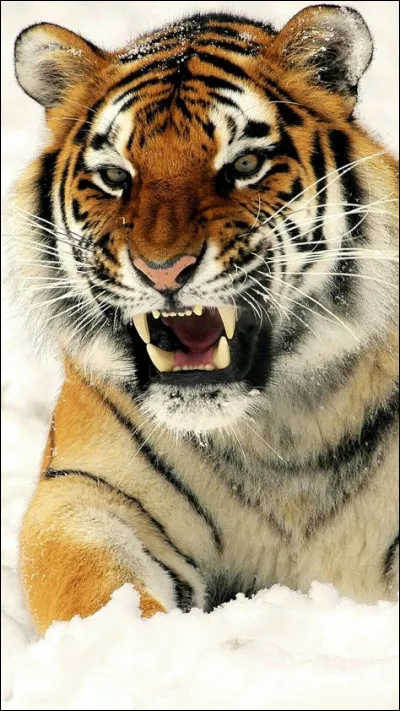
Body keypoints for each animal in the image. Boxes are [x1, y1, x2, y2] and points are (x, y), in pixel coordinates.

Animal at [8, 5, 398, 634]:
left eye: (245, 165)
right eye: (116, 177)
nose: (163, 270)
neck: (278, 436)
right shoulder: (84, 492)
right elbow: (93, 587)